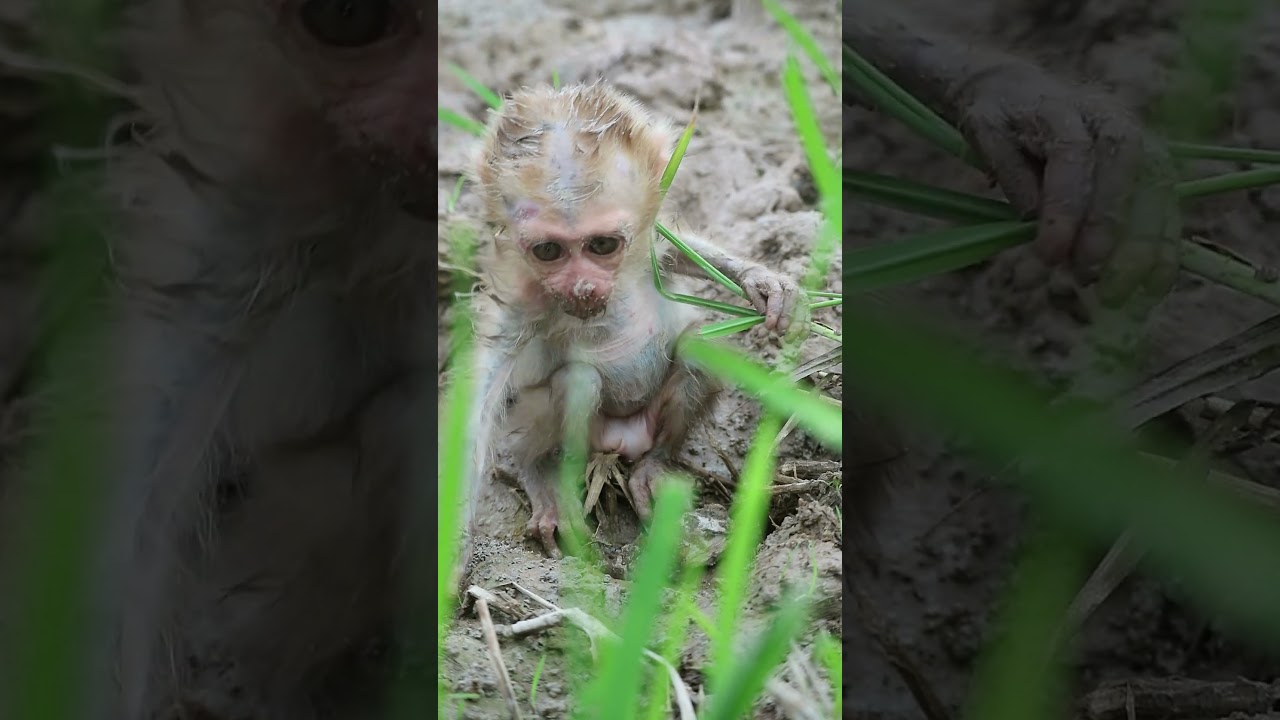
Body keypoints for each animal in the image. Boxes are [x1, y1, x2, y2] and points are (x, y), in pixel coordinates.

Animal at [455, 82, 811, 562]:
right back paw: (542, 474)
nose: (583, 286)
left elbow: (680, 250)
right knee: (579, 383)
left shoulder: (649, 242)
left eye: (603, 245)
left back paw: (653, 466)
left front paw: (764, 281)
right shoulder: (519, 298)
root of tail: (624, 443)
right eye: (548, 251)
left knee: (698, 348)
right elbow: (483, 389)